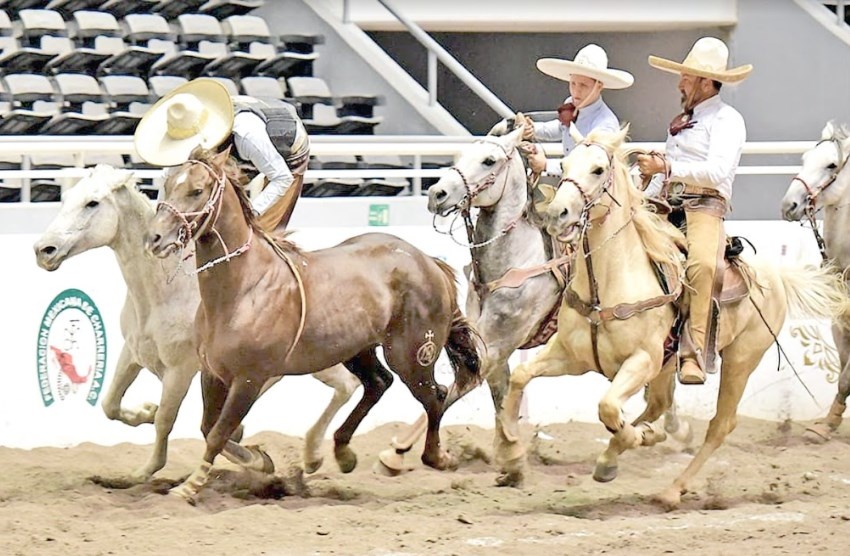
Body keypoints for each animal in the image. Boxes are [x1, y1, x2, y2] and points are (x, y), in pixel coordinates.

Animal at [31, 166, 358, 482]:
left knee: (347, 385)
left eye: (92, 203)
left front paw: (146, 469)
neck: (163, 293)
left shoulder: (182, 369)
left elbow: (167, 419)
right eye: (66, 197)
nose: (44, 249)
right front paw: (144, 412)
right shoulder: (133, 353)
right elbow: (111, 404)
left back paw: (313, 456)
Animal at [146, 146, 484, 502]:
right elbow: (209, 428)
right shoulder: (212, 372)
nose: (154, 238)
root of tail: (428, 262)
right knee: (379, 383)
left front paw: (189, 487)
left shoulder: (249, 379)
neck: (243, 288)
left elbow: (218, 433)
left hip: (412, 356)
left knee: (435, 395)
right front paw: (260, 460)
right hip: (357, 349)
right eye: (167, 184)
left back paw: (434, 457)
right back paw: (342, 453)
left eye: (196, 191)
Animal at [494, 125, 844, 508]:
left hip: (740, 359)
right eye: (565, 164)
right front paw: (509, 454)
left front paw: (630, 443)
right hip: (668, 366)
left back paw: (671, 487)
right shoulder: (570, 356)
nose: (558, 213)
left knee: (719, 424)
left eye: (598, 170)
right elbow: (520, 377)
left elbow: (608, 408)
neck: (610, 282)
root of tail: (777, 274)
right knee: (659, 405)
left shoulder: (641, 361)